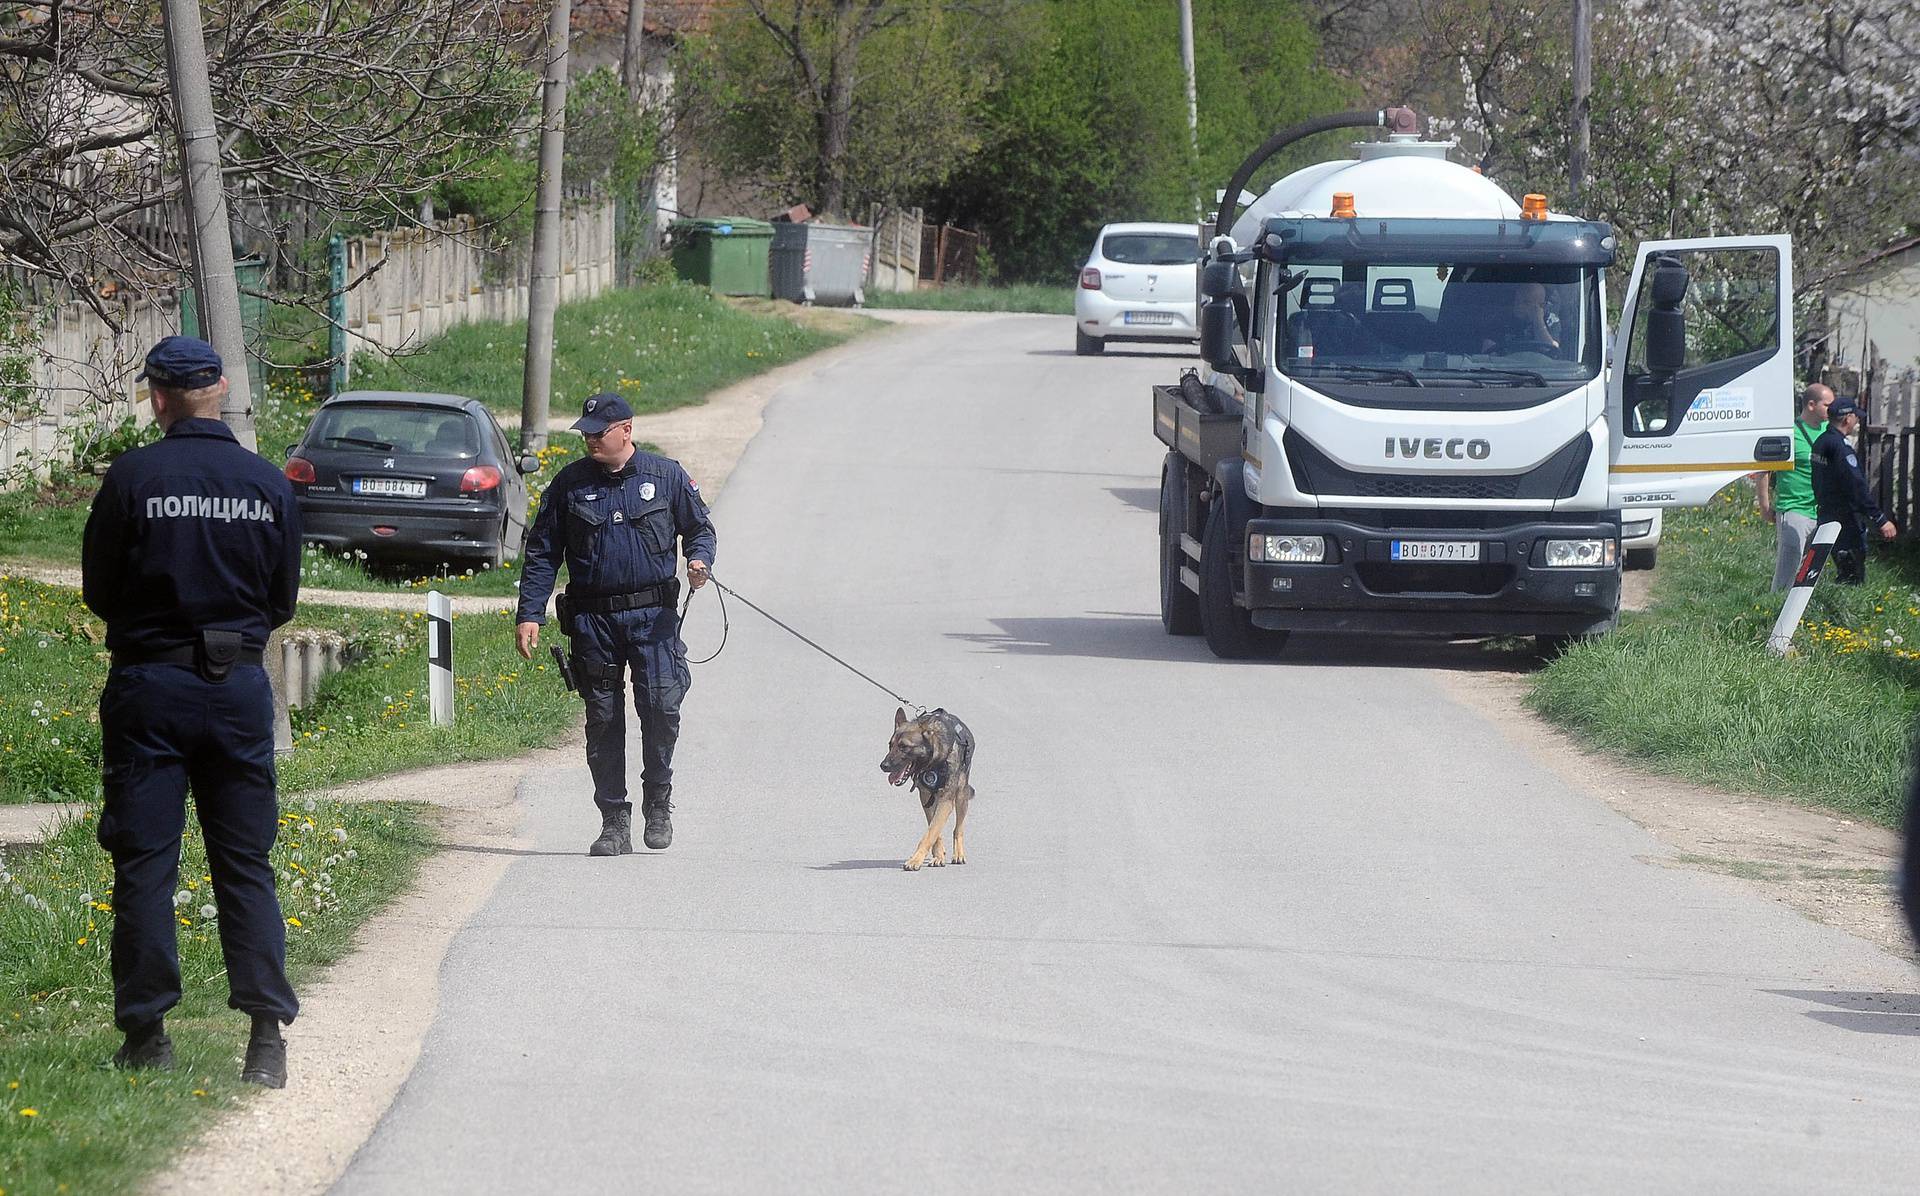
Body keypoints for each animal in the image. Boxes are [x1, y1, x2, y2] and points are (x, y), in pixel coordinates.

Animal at [879, 706, 975, 875]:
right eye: (890, 745)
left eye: (904, 747)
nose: (883, 766)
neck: (934, 760)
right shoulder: (926, 798)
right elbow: (933, 829)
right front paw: (938, 855)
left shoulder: (946, 801)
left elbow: (931, 832)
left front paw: (915, 860)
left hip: (961, 796)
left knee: (958, 828)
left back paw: (958, 854)